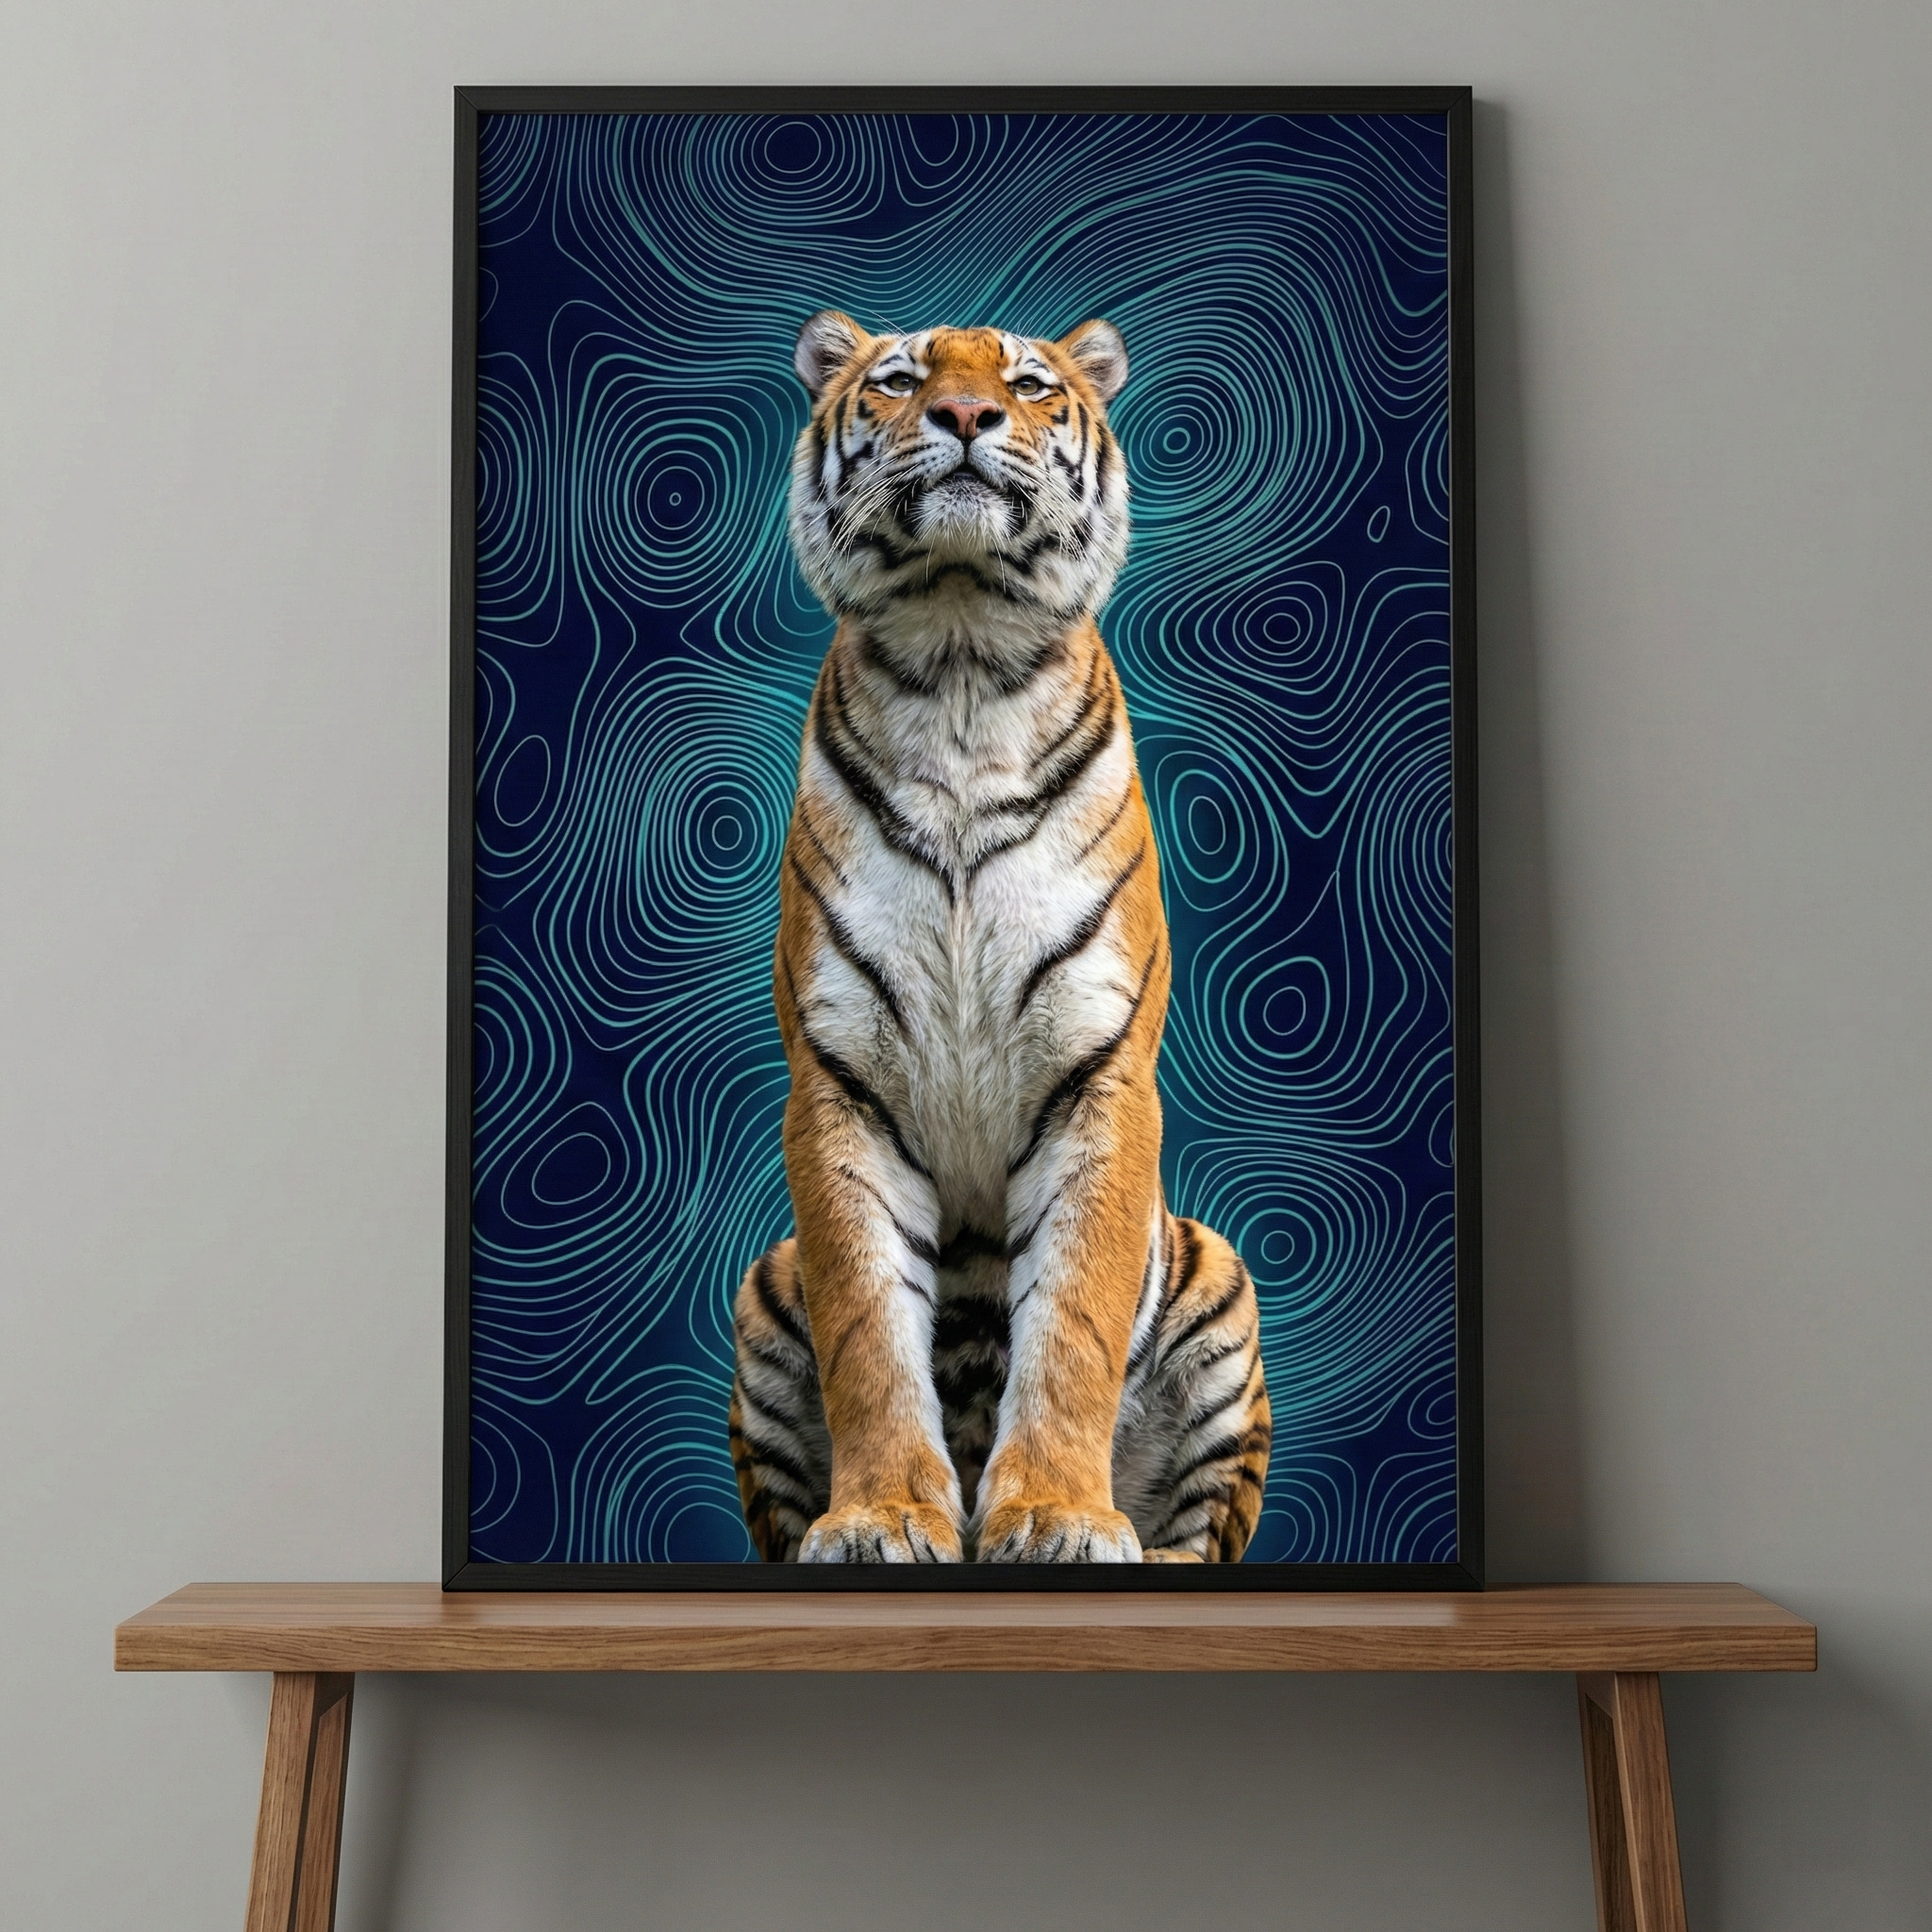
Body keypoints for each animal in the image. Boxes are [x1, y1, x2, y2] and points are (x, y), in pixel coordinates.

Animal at [727, 310, 1271, 1563]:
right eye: (897, 379)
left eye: (1026, 383)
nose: (967, 414)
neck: (961, 655)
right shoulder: (838, 1077)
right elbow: (867, 1329)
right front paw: (878, 1518)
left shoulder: (1098, 1069)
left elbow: (1071, 1318)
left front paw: (1059, 1515)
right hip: (763, 1288)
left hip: (1219, 1280)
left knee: (1202, 1535)